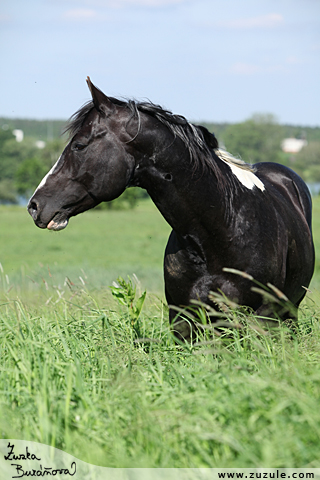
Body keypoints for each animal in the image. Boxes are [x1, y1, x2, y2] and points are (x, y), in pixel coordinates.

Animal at [28, 79, 316, 340]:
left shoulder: (261, 318)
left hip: (287, 313)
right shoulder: (184, 321)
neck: (222, 228)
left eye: (79, 145)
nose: (34, 206)